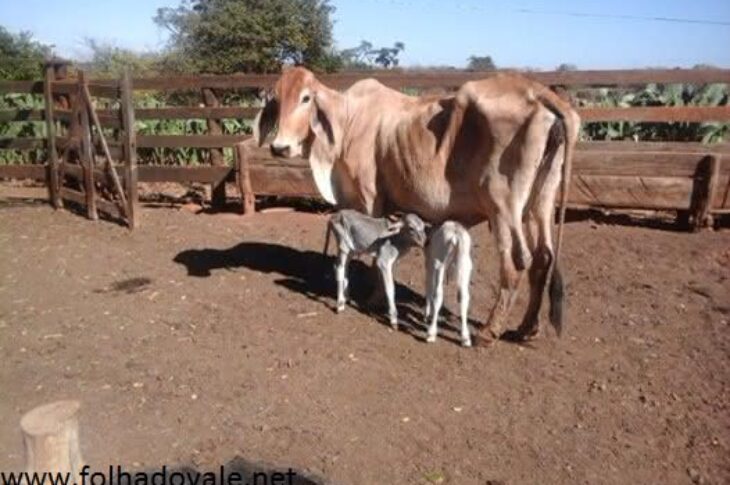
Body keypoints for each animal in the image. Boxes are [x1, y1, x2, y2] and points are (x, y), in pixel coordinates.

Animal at [254, 66, 580, 345]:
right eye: (277, 98)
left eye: (306, 98)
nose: (279, 147)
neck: (348, 120)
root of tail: (540, 92)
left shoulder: (369, 198)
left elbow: (375, 248)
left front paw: (374, 298)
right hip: (541, 201)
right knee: (543, 258)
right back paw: (526, 328)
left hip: (503, 206)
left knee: (516, 262)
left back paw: (489, 330)